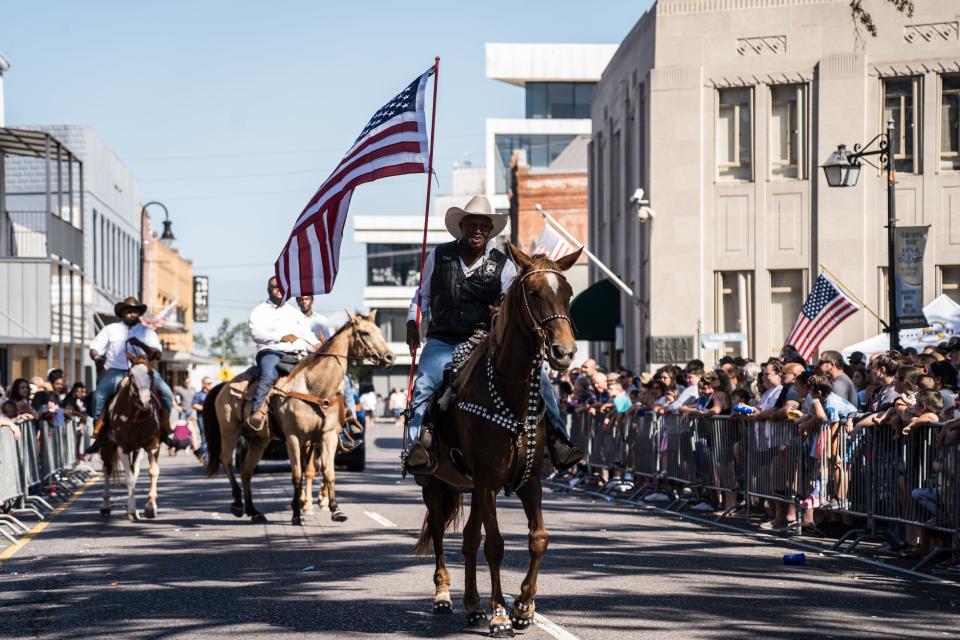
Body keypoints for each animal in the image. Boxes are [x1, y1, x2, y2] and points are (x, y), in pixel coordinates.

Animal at [98, 352, 168, 524]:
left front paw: (150, 507)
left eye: (151, 374)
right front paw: (131, 510)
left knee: (134, 470)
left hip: (138, 450)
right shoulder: (123, 447)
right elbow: (128, 478)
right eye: (131, 375)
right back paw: (106, 505)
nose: (144, 401)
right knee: (107, 469)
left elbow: (152, 472)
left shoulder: (152, 445)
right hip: (107, 446)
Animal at [202, 310, 394, 524]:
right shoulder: (295, 437)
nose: (390, 356)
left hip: (258, 440)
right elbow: (298, 474)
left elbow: (328, 471)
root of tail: (224, 385)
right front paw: (297, 512)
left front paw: (335, 510)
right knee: (226, 460)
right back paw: (237, 504)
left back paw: (254, 511)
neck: (314, 388)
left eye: (379, 330)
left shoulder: (327, 436)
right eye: (364, 332)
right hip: (229, 431)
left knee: (246, 471)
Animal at [410, 244, 576, 636]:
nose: (564, 352)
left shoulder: (529, 480)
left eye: (568, 293)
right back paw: (444, 596)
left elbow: (538, 538)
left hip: (470, 487)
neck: (510, 395)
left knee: (470, 539)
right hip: (435, 485)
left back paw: (472, 606)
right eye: (535, 293)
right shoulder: (487, 480)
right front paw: (500, 613)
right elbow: (496, 545)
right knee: (439, 533)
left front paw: (524, 607)